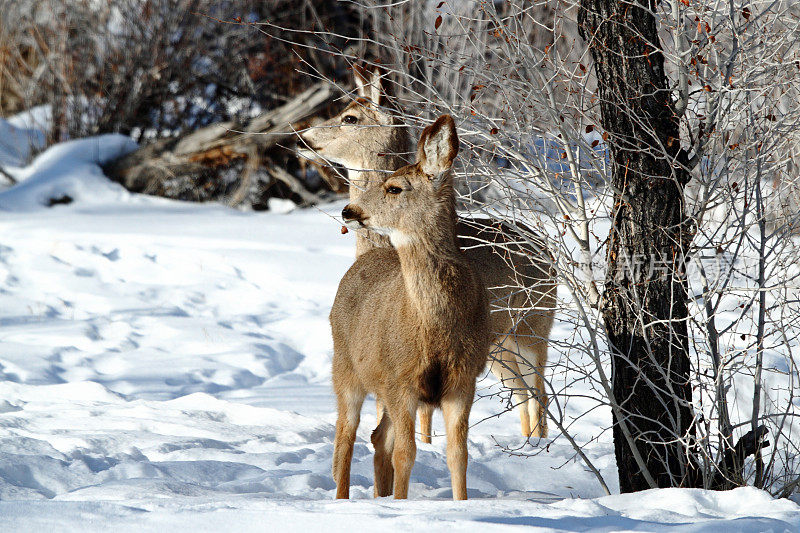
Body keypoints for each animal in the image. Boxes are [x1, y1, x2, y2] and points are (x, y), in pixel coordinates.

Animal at [300, 64, 556, 438]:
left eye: (349, 117)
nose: (303, 138)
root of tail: (547, 251)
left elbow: (420, 415)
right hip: (500, 346)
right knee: (521, 390)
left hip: (533, 325)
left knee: (539, 390)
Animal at [330, 115, 488, 498]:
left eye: (394, 188)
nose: (348, 210)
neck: (434, 324)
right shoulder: (401, 378)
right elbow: (406, 452)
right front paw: (401, 504)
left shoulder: (463, 380)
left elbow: (458, 454)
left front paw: (462, 503)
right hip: (345, 367)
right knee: (345, 437)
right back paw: (343, 499)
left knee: (376, 437)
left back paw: (379, 494)